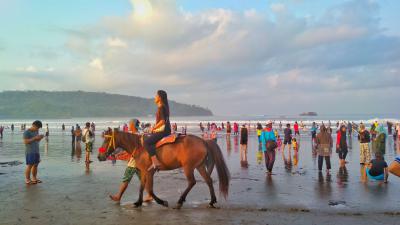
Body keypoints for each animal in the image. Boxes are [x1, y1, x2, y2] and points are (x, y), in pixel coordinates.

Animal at [97, 130, 230, 209]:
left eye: (106, 140)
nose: (99, 156)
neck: (139, 147)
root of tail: (203, 141)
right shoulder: (144, 172)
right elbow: (142, 187)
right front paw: (139, 202)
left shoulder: (149, 172)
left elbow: (150, 190)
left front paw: (162, 202)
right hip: (200, 166)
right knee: (208, 180)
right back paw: (212, 201)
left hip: (188, 167)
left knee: (192, 182)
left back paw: (180, 201)